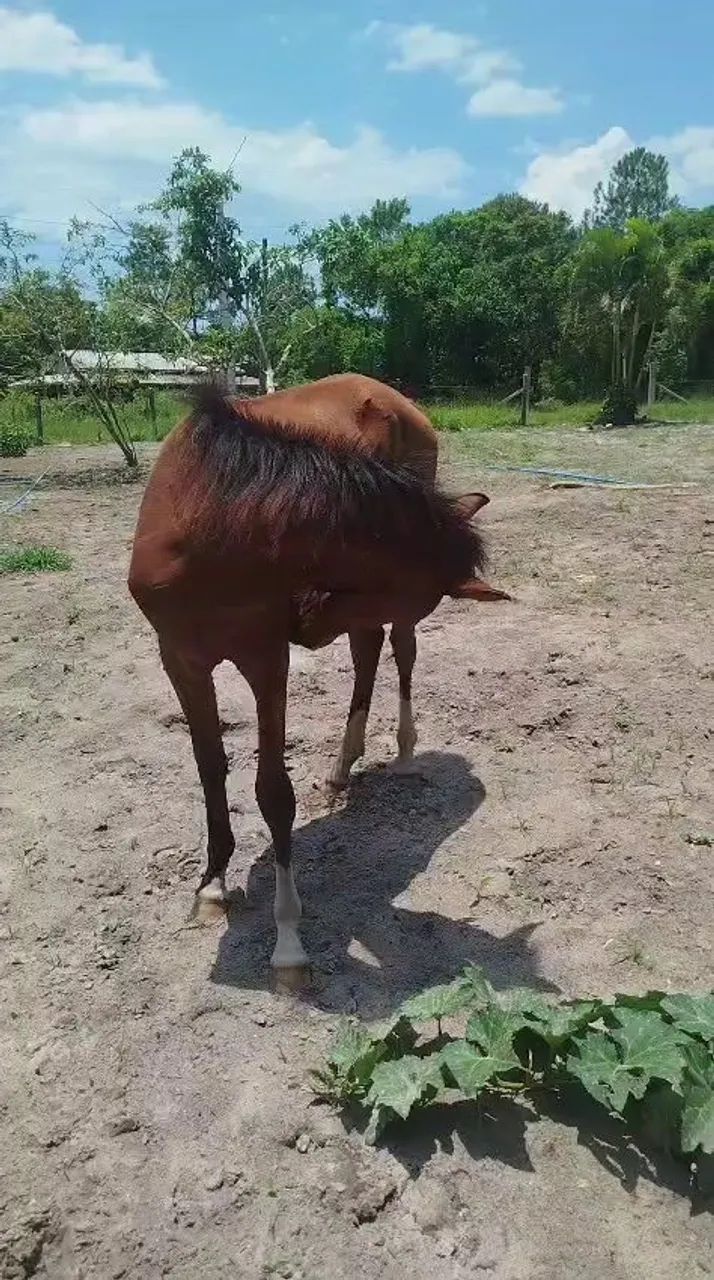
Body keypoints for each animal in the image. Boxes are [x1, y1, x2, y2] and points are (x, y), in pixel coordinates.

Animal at [128, 374, 510, 986]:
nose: (304, 622)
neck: (216, 521)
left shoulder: (266, 659)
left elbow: (273, 793)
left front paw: (288, 941)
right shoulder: (181, 660)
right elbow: (210, 770)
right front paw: (212, 884)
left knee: (399, 650)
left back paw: (403, 751)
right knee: (369, 652)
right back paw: (342, 765)